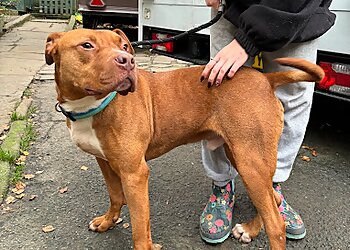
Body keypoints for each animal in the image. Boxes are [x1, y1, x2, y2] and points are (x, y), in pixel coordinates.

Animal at [45, 28, 324, 249]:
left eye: (123, 46)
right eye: (87, 45)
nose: (128, 60)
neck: (91, 105)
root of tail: (266, 79)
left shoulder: (134, 173)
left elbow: (140, 227)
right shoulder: (104, 161)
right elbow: (115, 196)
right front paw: (106, 222)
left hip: (250, 160)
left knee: (276, 222)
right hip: (241, 154)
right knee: (272, 199)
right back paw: (249, 229)